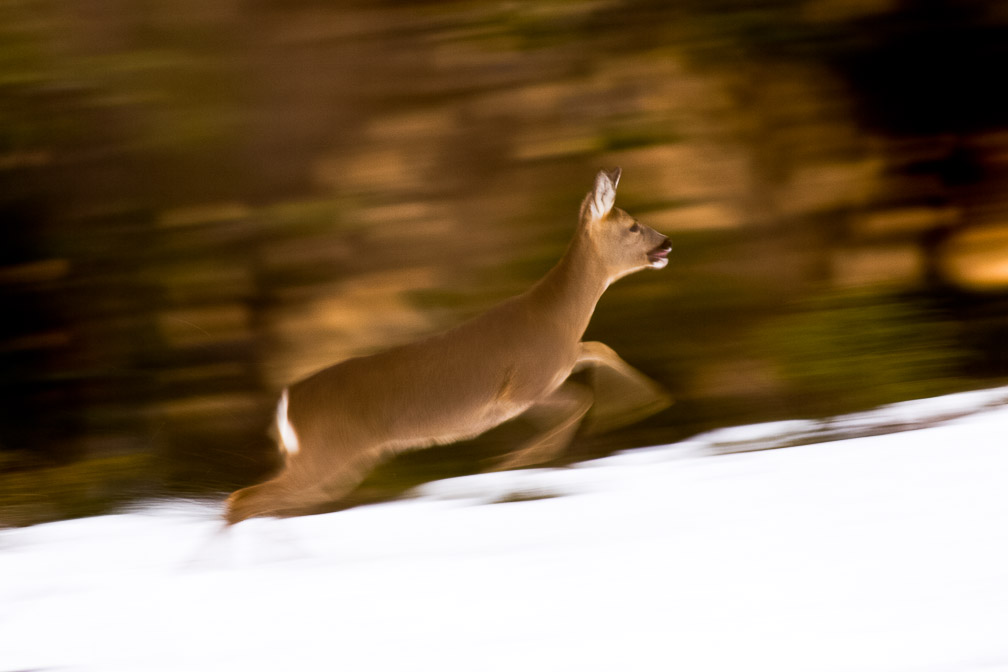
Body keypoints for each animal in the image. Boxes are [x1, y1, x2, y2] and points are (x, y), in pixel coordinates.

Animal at [226, 168, 669, 523]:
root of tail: (287, 403)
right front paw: (512, 465)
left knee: (260, 501)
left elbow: (594, 359)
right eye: (632, 226)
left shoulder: (541, 380)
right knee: (241, 500)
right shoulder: (522, 386)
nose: (666, 241)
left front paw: (642, 404)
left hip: (332, 463)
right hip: (325, 456)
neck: (553, 316)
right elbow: (583, 386)